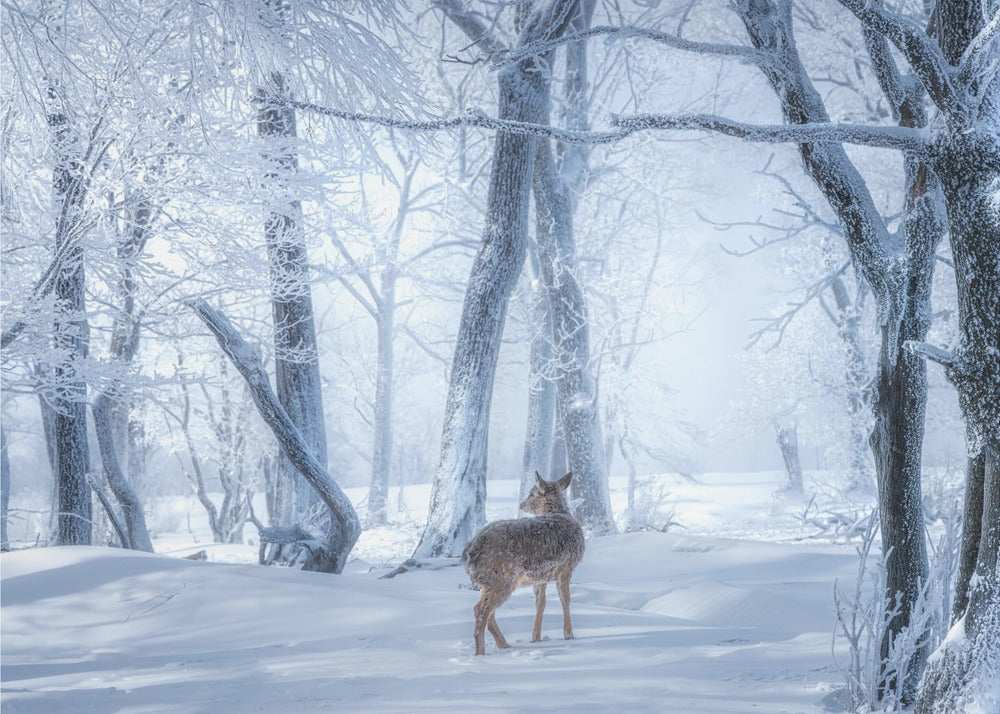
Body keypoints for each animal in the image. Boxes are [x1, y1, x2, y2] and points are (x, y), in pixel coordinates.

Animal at [461, 471, 586, 656]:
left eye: (532, 494)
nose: (521, 504)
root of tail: (468, 553)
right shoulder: (566, 567)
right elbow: (565, 600)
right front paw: (569, 635)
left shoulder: (541, 576)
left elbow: (540, 603)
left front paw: (535, 637)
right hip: (501, 577)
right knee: (481, 610)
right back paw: (481, 653)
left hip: (490, 581)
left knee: (488, 612)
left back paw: (504, 645)